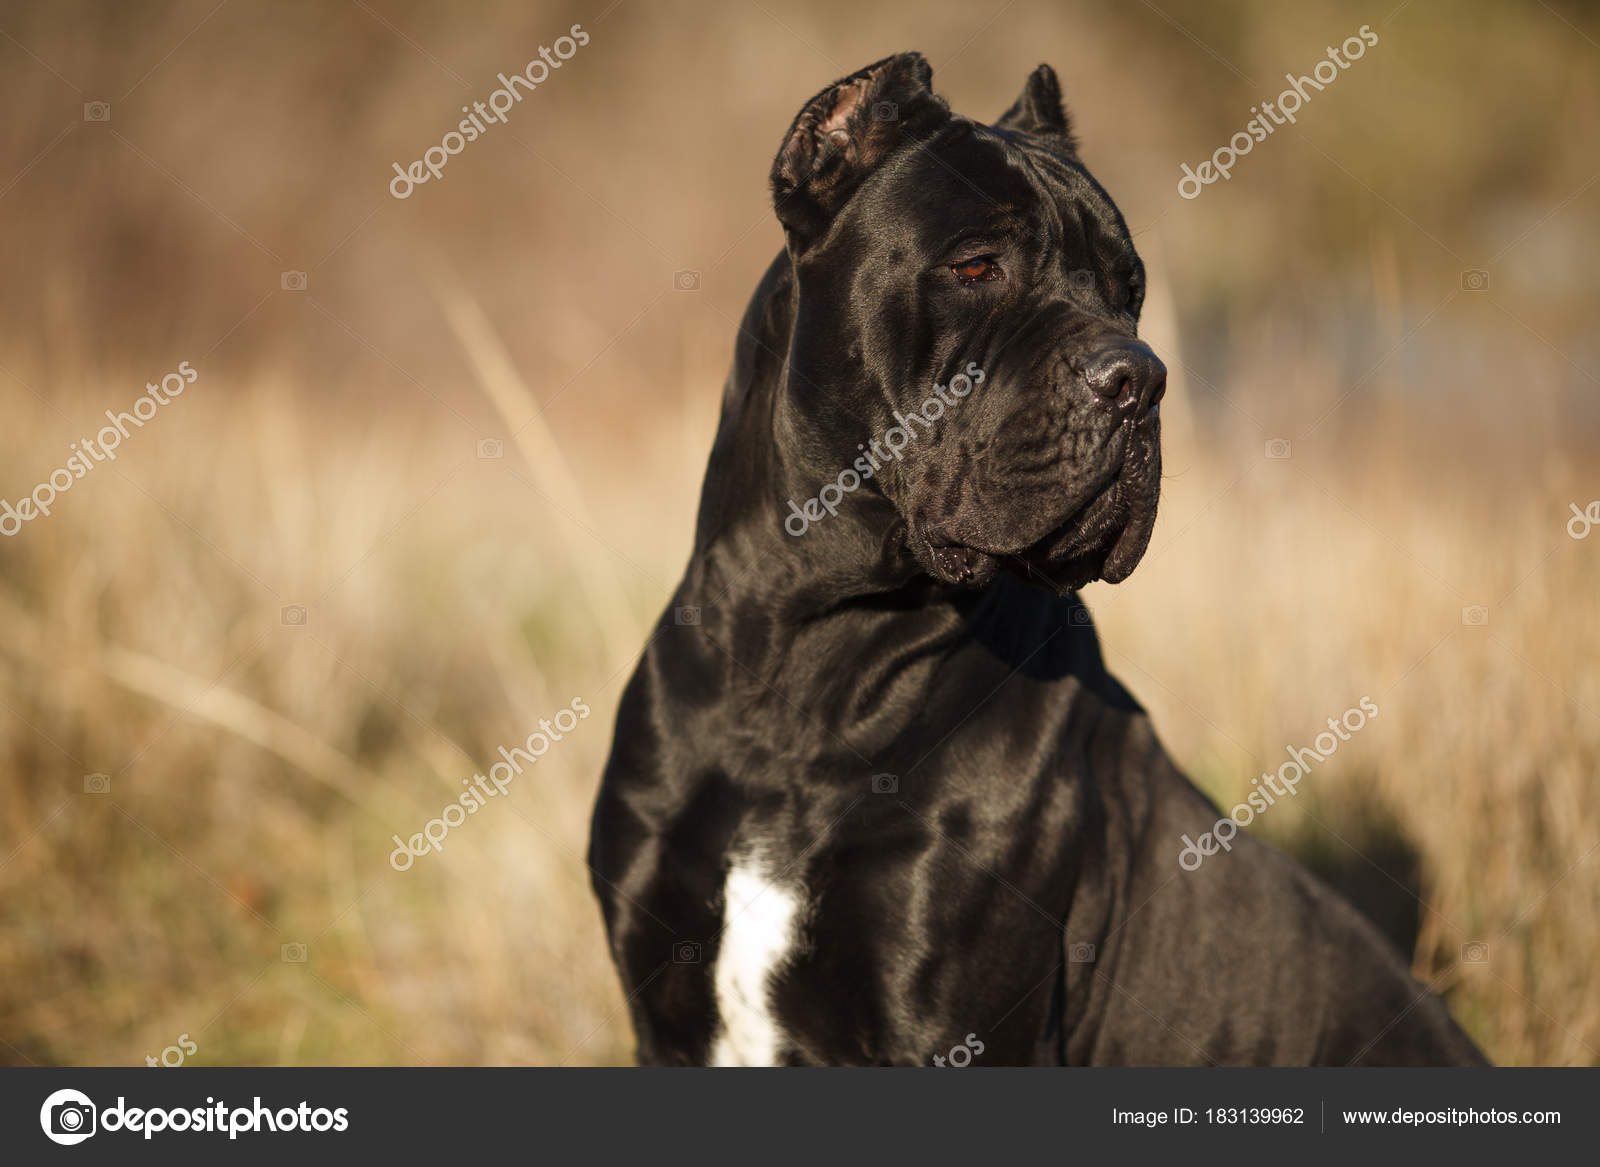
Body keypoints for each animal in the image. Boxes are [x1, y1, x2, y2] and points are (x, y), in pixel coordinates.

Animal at [588, 50, 1484, 1062]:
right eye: (977, 265)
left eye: (1129, 292)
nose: (1140, 377)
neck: (805, 649)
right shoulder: (664, 1016)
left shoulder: (951, 1029)